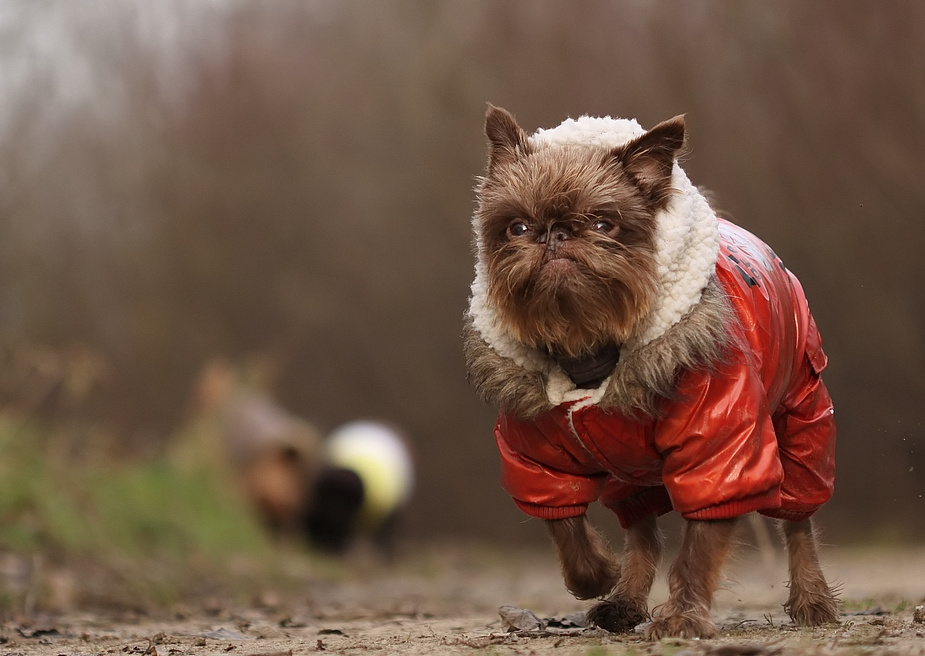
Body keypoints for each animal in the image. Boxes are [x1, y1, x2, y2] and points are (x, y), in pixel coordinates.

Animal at [462, 106, 836, 636]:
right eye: (516, 228)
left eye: (603, 224)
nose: (555, 233)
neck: (592, 349)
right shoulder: (536, 457)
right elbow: (562, 520)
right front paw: (596, 575)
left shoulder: (720, 452)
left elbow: (700, 543)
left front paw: (682, 617)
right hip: (632, 472)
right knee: (642, 532)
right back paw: (624, 599)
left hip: (802, 420)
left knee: (798, 519)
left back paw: (812, 599)